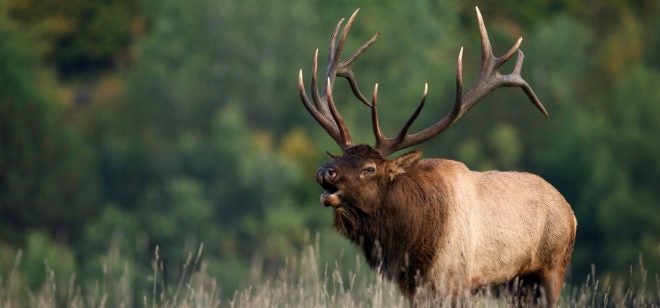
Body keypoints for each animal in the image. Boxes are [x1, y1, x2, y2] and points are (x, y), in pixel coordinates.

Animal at [296, 6, 576, 306]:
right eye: (340, 157)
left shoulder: (455, 281)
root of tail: (571, 213)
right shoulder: (414, 289)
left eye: (370, 168)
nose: (326, 171)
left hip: (551, 268)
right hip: (517, 286)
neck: (411, 244)